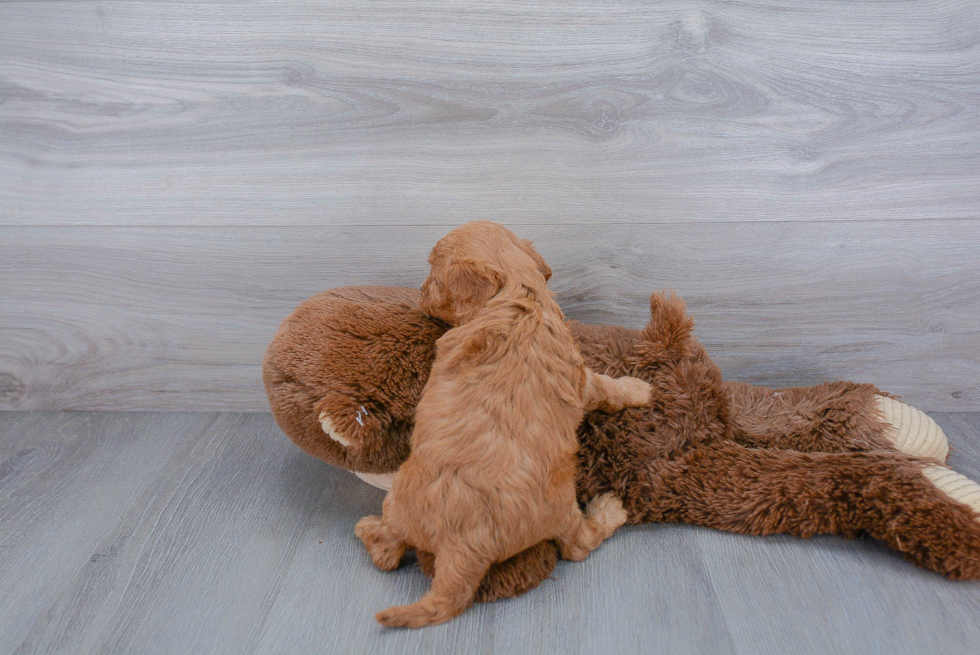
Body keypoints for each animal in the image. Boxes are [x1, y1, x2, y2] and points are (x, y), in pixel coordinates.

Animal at [354, 223, 652, 628]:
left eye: (433, 275)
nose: (420, 290)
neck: (517, 295)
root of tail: (461, 546)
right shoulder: (582, 379)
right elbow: (609, 386)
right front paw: (640, 388)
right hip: (561, 507)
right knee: (578, 546)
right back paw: (610, 509)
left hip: (399, 500)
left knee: (387, 552)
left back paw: (367, 528)